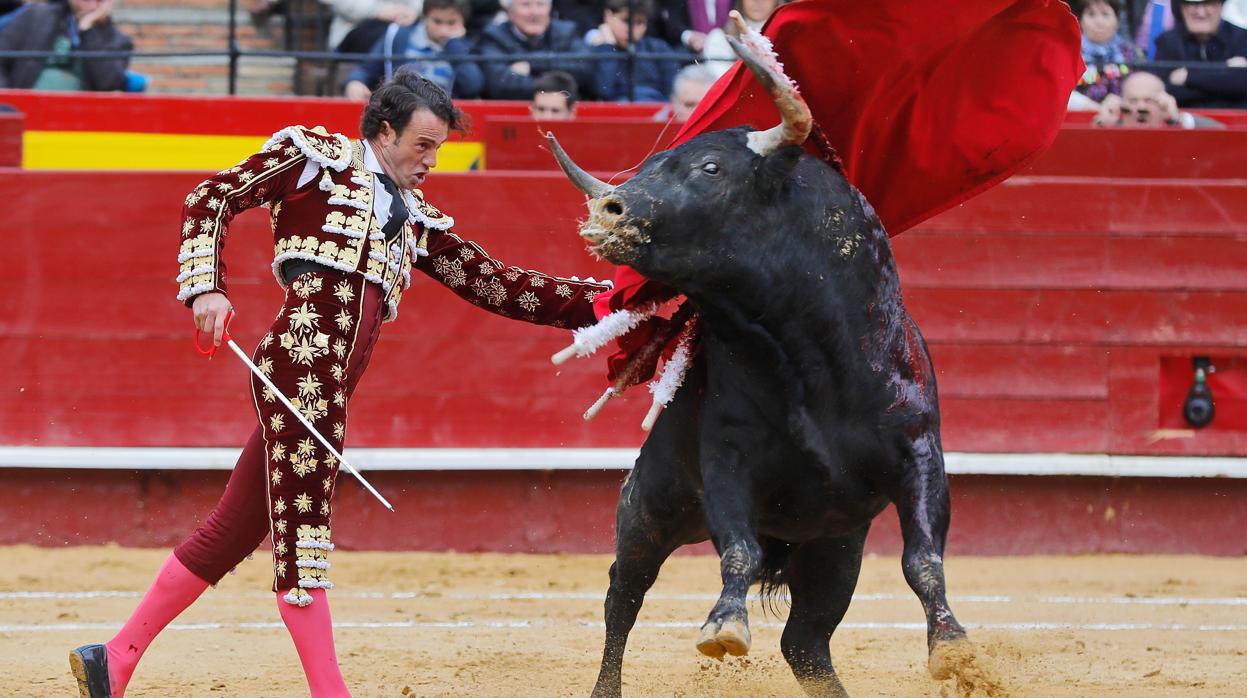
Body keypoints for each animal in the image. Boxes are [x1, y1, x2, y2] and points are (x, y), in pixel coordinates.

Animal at [556, 128, 972, 693]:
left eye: (710, 168)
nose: (607, 210)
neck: (810, 364)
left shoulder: (919, 451)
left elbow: (923, 558)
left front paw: (951, 645)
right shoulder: (727, 463)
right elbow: (740, 550)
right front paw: (725, 626)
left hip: (834, 552)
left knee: (805, 642)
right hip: (650, 507)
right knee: (624, 594)